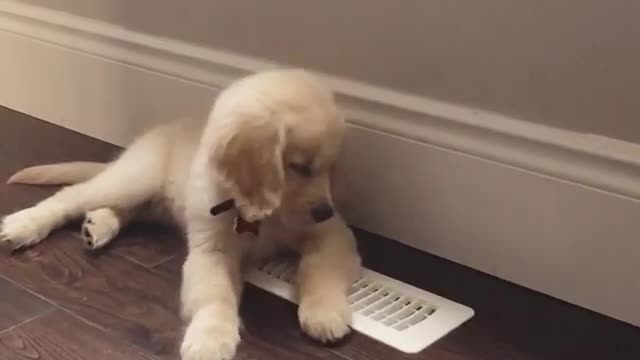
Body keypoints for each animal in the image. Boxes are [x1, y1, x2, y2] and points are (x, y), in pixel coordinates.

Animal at [0, 69, 362, 358]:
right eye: (299, 167)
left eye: (329, 168)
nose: (324, 211)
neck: (259, 214)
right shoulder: (210, 249)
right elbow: (215, 294)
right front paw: (211, 338)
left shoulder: (333, 234)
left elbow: (319, 268)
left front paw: (324, 312)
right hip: (134, 178)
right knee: (72, 196)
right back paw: (24, 224)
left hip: (154, 202)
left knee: (126, 211)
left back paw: (98, 226)